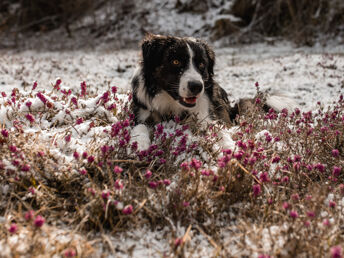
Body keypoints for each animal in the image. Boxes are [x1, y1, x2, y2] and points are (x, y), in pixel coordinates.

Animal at [130, 34, 296, 151]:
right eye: (176, 62)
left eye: (201, 64)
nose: (197, 86)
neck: (172, 104)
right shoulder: (141, 113)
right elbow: (140, 127)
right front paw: (139, 143)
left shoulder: (205, 117)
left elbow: (218, 130)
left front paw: (228, 147)